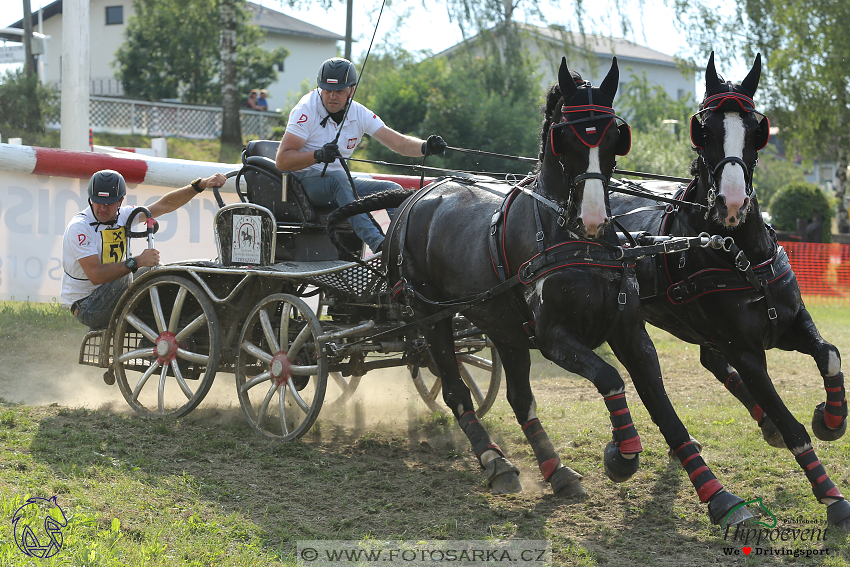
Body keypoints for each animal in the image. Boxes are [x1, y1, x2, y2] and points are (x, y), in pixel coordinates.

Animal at [330, 57, 748, 528]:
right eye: (565, 137)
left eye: (614, 138)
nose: (592, 217)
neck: (575, 239)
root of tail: (417, 196)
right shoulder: (554, 338)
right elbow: (610, 378)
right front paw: (622, 457)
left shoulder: (631, 333)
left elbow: (664, 409)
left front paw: (720, 496)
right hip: (431, 315)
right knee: (456, 391)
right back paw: (495, 461)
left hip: (502, 324)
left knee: (519, 398)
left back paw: (555, 470)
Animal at [608, 51, 844, 532]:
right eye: (704, 130)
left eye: (757, 129)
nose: (733, 203)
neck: (742, 256)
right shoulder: (747, 351)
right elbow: (793, 428)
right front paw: (831, 497)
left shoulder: (791, 322)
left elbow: (829, 354)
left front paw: (831, 420)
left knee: (709, 360)